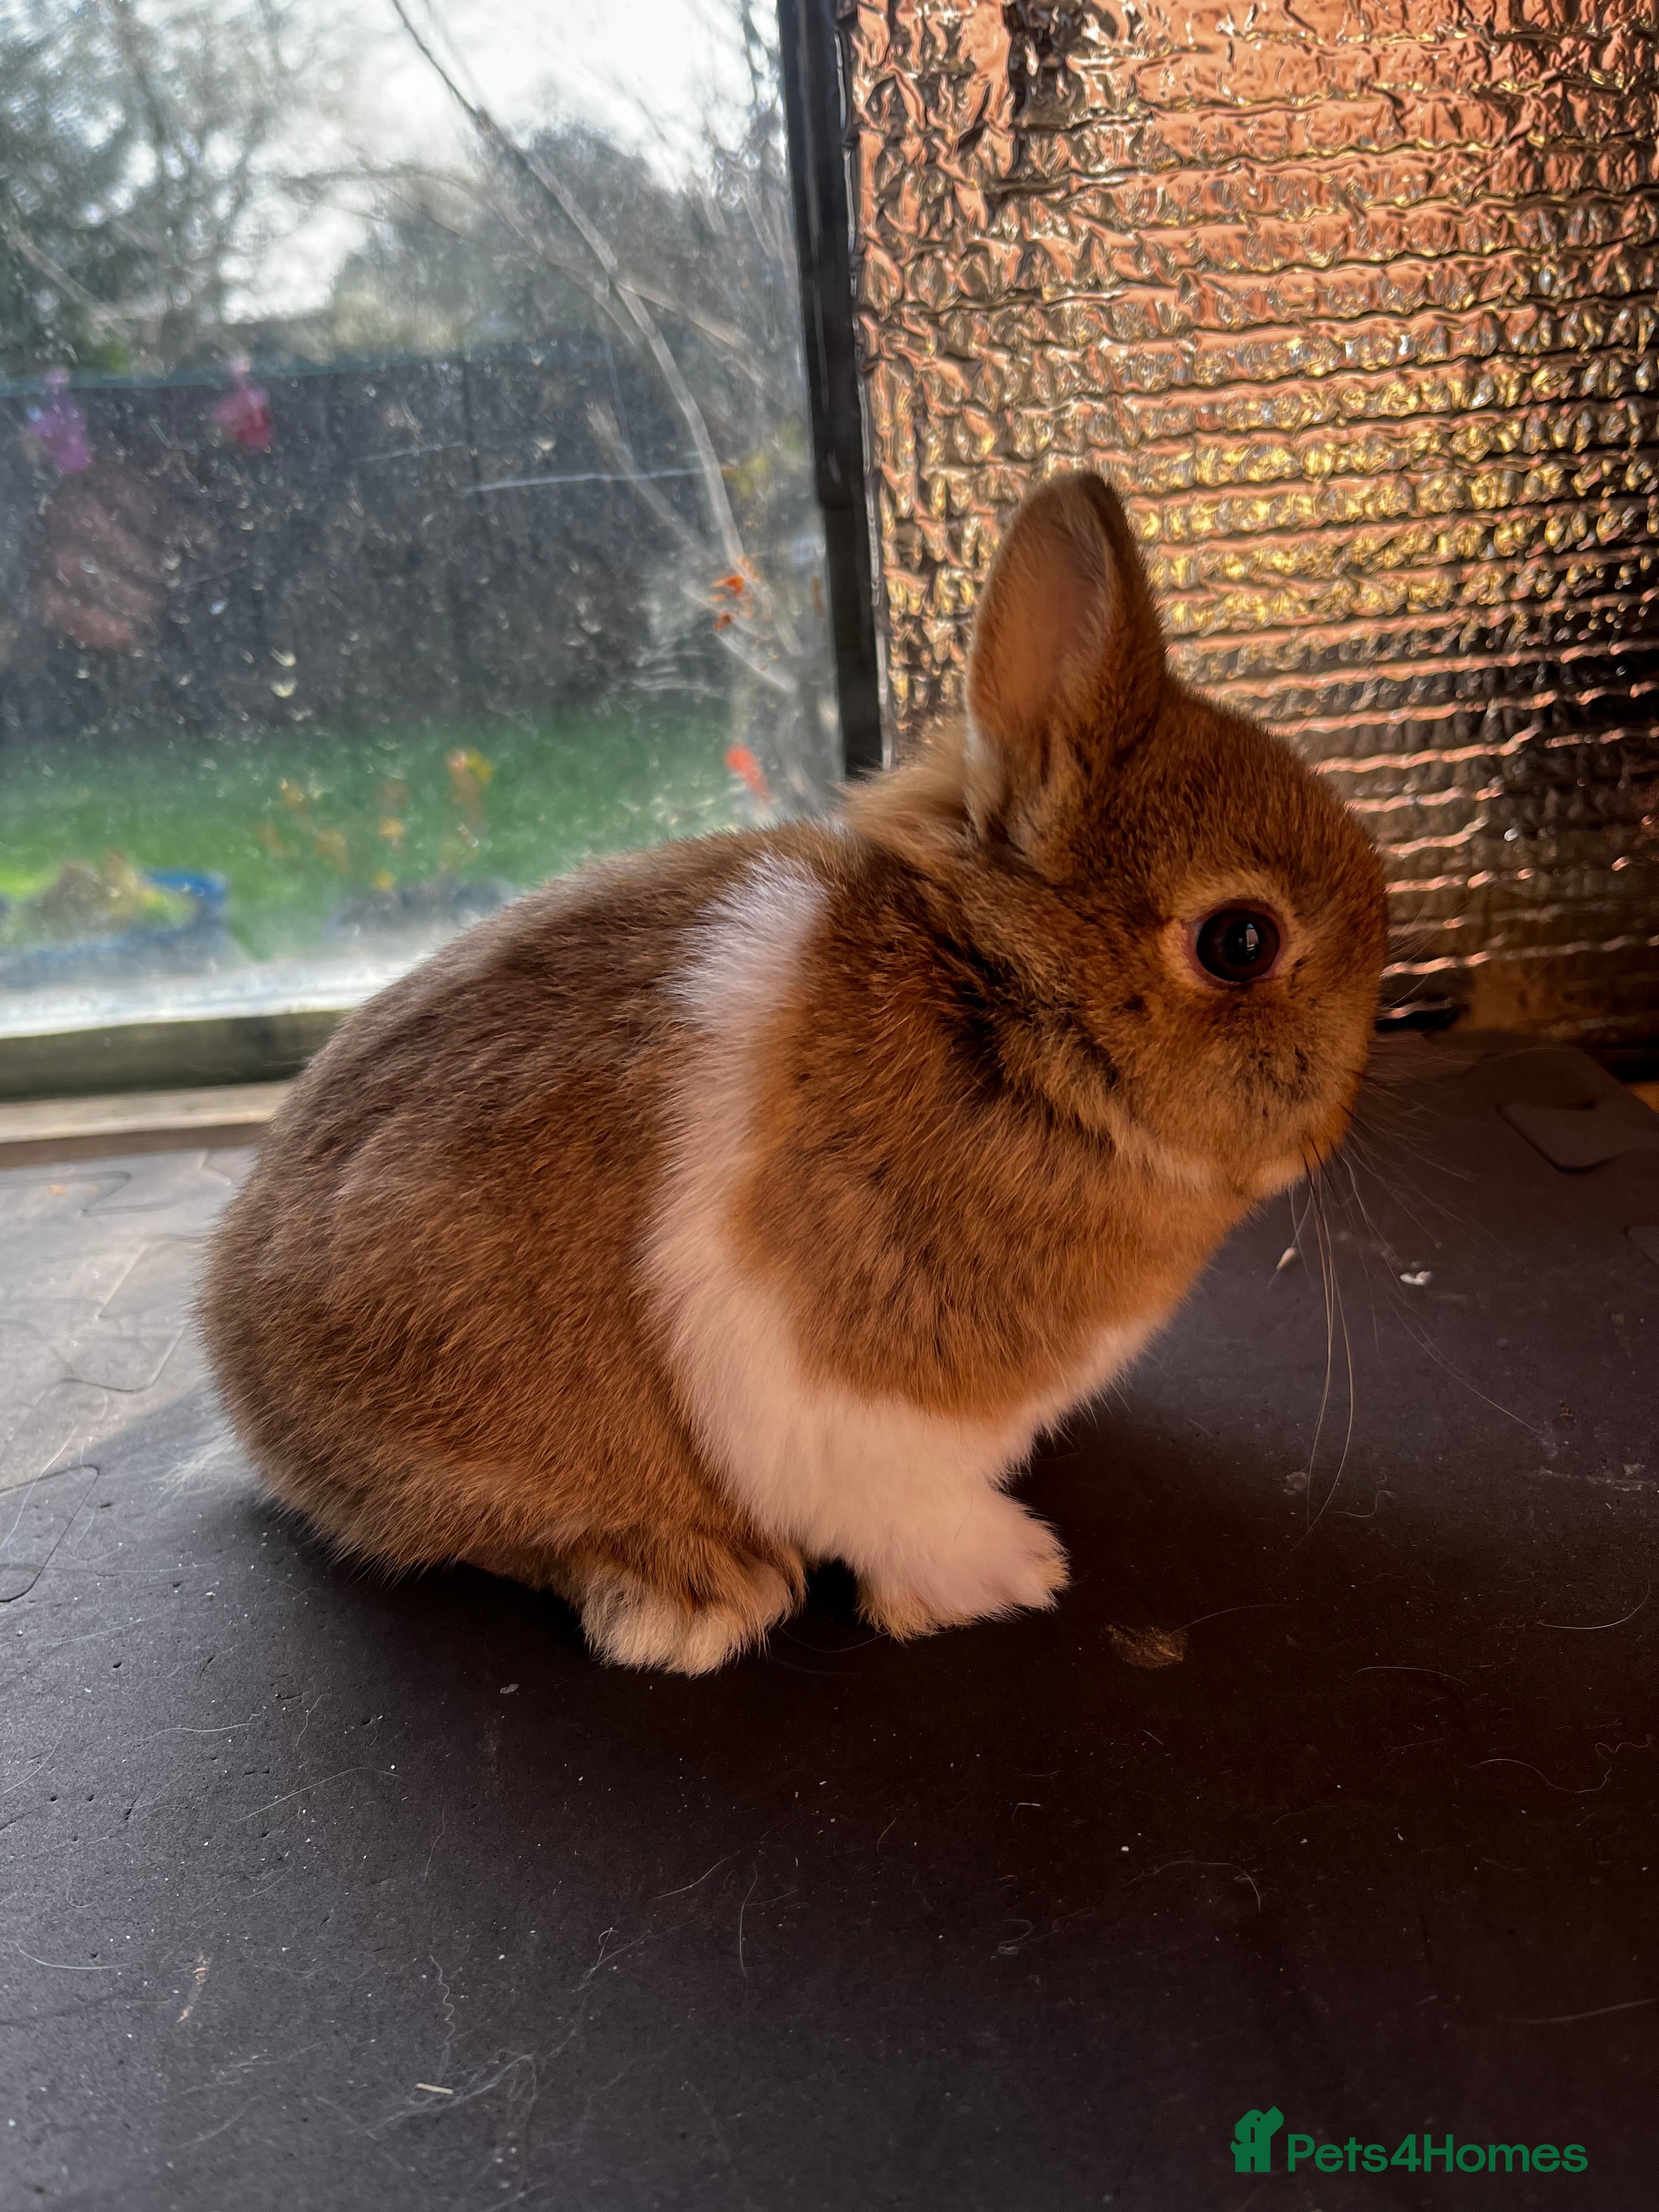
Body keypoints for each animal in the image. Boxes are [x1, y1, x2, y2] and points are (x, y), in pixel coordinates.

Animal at [200, 471, 1388, 1674]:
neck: (998, 1015)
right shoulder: (855, 1393)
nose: (1331, 1121)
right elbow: (909, 1514)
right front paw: (1016, 1573)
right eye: (1240, 941)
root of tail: (239, 1373)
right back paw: (691, 1594)